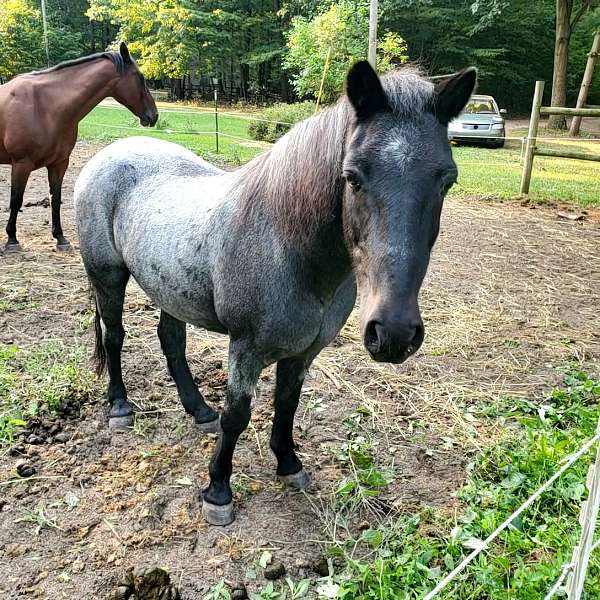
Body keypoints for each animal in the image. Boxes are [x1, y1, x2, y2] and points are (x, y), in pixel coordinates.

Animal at [0, 43, 157, 251]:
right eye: (141, 78)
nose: (154, 115)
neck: (45, 106)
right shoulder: (21, 164)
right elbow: (16, 200)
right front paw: (12, 239)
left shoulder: (59, 164)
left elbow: (55, 199)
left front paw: (60, 237)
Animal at [75, 58, 476, 524]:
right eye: (353, 177)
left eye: (447, 181)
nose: (393, 333)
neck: (287, 247)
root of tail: (113, 152)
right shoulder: (245, 349)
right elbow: (237, 415)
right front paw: (218, 491)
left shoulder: (303, 352)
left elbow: (287, 404)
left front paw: (288, 464)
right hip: (107, 276)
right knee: (115, 337)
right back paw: (120, 407)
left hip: (169, 287)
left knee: (171, 340)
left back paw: (198, 410)